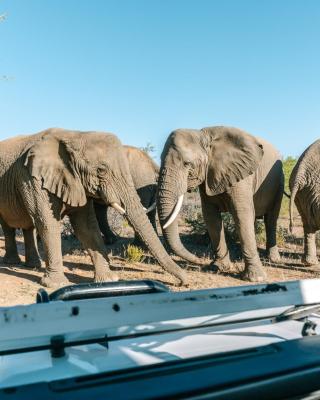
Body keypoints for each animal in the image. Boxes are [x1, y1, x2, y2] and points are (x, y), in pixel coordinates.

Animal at [0, 128, 186, 288]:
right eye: (101, 170)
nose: (183, 282)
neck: (75, 135)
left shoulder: (78, 182)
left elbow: (86, 226)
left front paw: (109, 280)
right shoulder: (31, 177)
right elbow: (47, 223)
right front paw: (56, 285)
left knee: (28, 225)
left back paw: (32, 266)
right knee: (10, 226)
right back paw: (13, 263)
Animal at [156, 126, 284, 282]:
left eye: (187, 164)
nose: (199, 261)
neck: (203, 136)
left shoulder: (242, 174)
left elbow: (241, 214)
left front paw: (255, 278)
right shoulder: (208, 176)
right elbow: (211, 217)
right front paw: (217, 268)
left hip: (280, 182)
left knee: (271, 219)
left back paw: (273, 259)